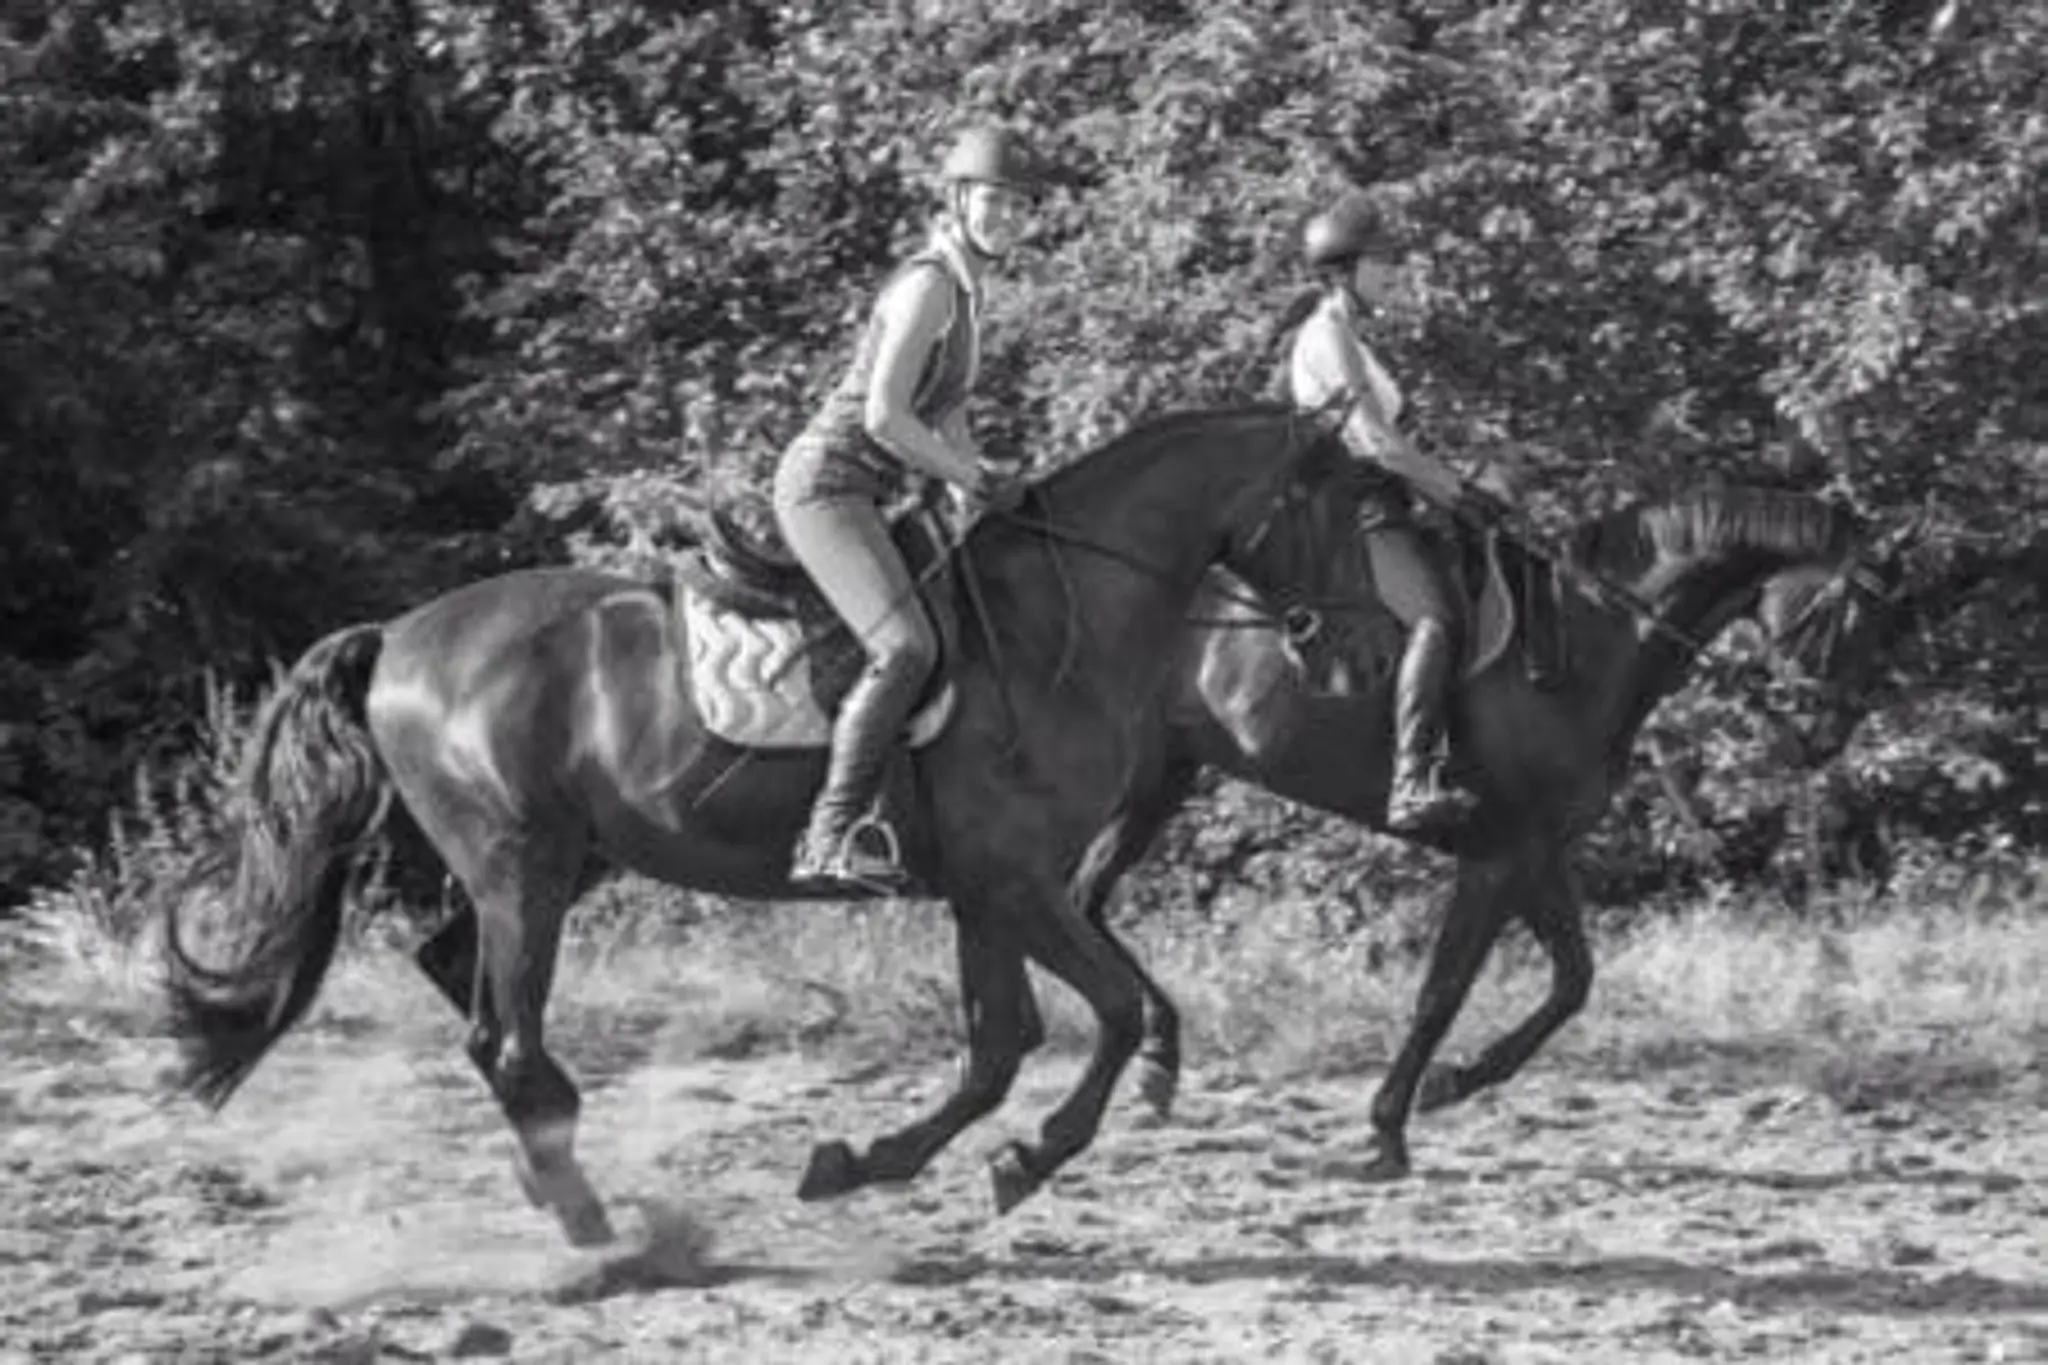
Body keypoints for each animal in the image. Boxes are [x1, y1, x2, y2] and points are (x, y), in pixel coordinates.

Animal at [161, 404, 1364, 1246]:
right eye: (1356, 512)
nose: (1345, 664)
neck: (1052, 623)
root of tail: (399, 636)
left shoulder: (988, 891)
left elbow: (998, 1047)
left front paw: (865, 1162)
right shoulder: (1017, 883)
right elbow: (1105, 1013)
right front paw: (1025, 1160)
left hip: (558, 861)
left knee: (464, 983)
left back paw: (551, 1169)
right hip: (522, 866)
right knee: (504, 1037)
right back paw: (593, 1226)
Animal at [1062, 483, 1910, 1178]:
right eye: (1852, 616)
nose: (1822, 740)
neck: (1591, 642)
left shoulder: (1536, 851)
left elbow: (1573, 979)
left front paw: (1454, 1082)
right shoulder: (1497, 854)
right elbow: (1443, 992)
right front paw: (1388, 1127)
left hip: (1162, 779)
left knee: (1084, 900)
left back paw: (1159, 1057)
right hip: (1137, 780)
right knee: (1076, 899)